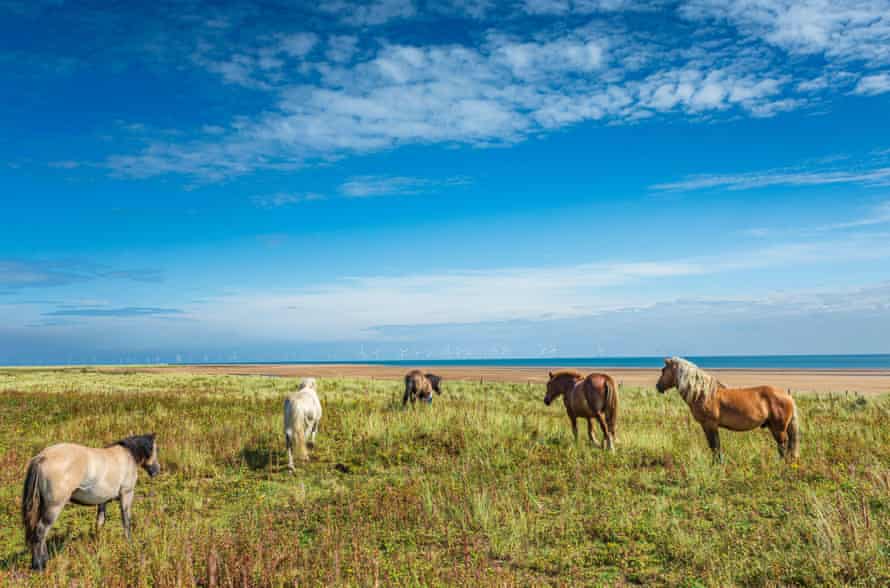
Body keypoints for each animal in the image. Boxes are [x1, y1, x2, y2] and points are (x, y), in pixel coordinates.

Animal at [22, 432, 160, 568]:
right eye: (155, 449)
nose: (156, 470)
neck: (127, 455)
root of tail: (42, 457)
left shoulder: (102, 501)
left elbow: (100, 523)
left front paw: (98, 544)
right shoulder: (126, 494)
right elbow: (126, 522)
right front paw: (129, 544)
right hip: (54, 507)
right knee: (41, 531)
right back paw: (39, 565)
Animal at [652, 356, 796, 462]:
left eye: (663, 370)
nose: (658, 386)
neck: (703, 393)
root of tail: (787, 395)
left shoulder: (710, 425)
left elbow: (714, 446)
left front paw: (716, 464)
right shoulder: (708, 426)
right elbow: (715, 446)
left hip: (778, 428)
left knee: (783, 445)